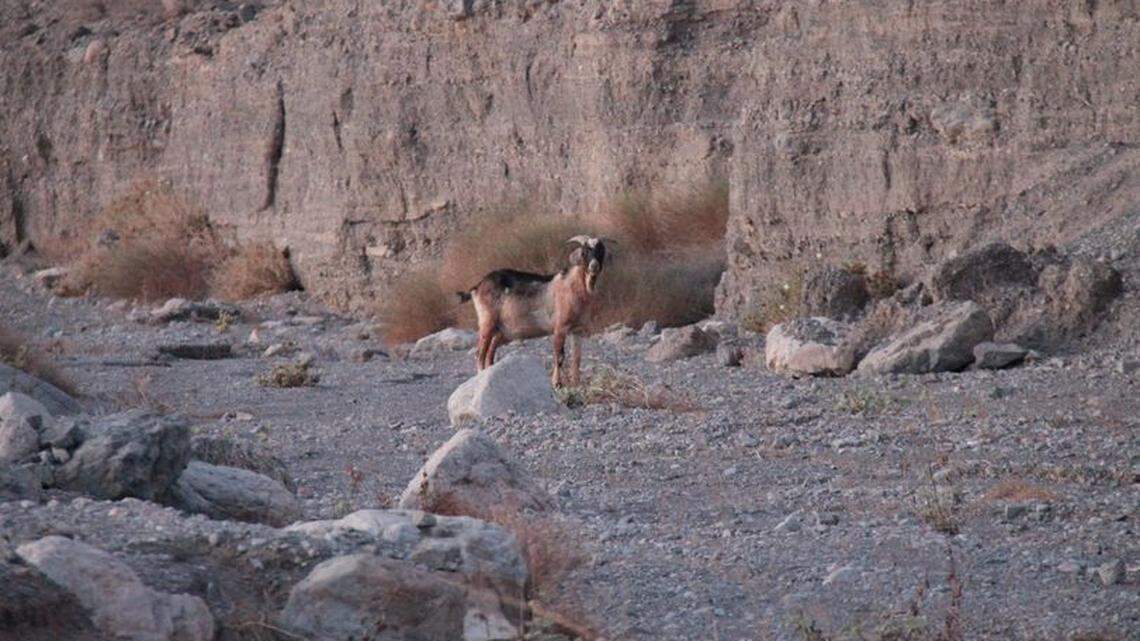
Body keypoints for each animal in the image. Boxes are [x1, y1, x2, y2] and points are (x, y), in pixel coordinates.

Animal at [457, 235, 608, 388]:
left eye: (601, 251)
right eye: (584, 252)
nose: (594, 266)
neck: (575, 285)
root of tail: (478, 286)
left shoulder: (577, 330)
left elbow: (577, 357)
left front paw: (576, 384)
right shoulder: (560, 328)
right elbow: (559, 356)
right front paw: (556, 383)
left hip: (501, 331)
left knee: (490, 354)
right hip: (487, 323)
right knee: (479, 353)